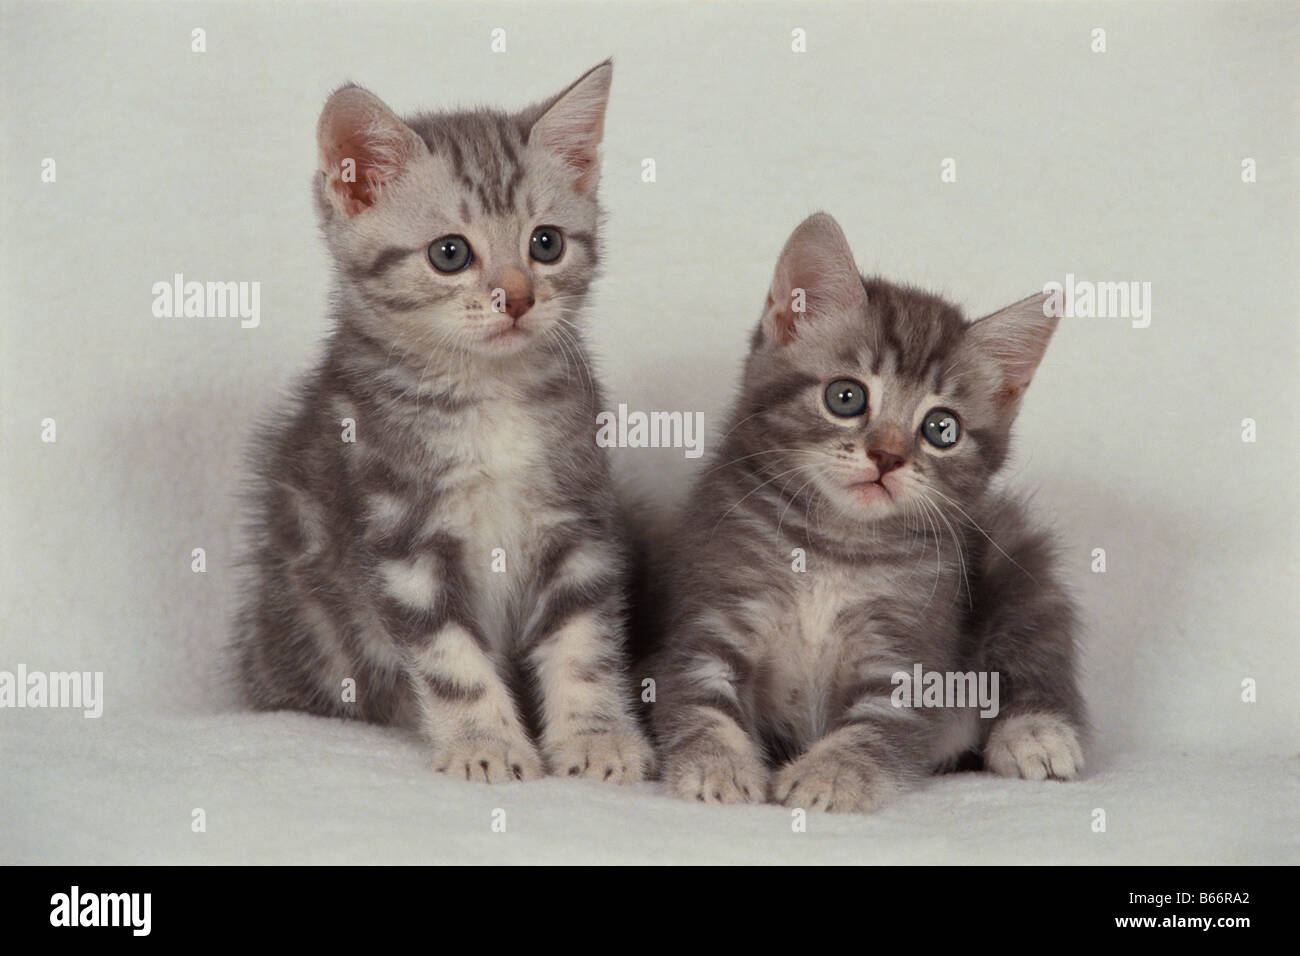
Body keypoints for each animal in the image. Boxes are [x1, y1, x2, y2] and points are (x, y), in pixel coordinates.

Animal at [232, 63, 650, 790]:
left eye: (546, 243)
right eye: (450, 254)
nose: (518, 297)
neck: (486, 394)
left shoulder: (578, 520)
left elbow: (584, 644)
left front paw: (598, 738)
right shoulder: (402, 542)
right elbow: (453, 662)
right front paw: (488, 744)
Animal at [650, 213, 1086, 811]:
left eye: (942, 428)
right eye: (846, 397)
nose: (887, 456)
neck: (834, 546)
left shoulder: (907, 649)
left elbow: (878, 722)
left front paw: (831, 775)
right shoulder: (715, 603)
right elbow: (697, 693)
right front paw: (715, 763)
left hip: (1014, 556)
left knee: (1038, 639)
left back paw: (1037, 732)